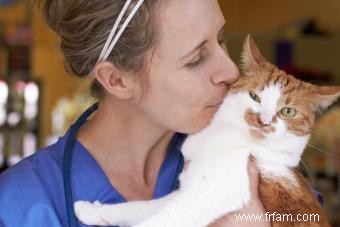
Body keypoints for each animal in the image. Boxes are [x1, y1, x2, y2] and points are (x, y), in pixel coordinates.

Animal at [74, 35, 334, 227]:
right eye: (254, 96)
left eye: (287, 111)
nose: (263, 120)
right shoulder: (186, 190)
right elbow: (144, 207)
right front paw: (95, 211)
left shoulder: (210, 193)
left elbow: (162, 219)